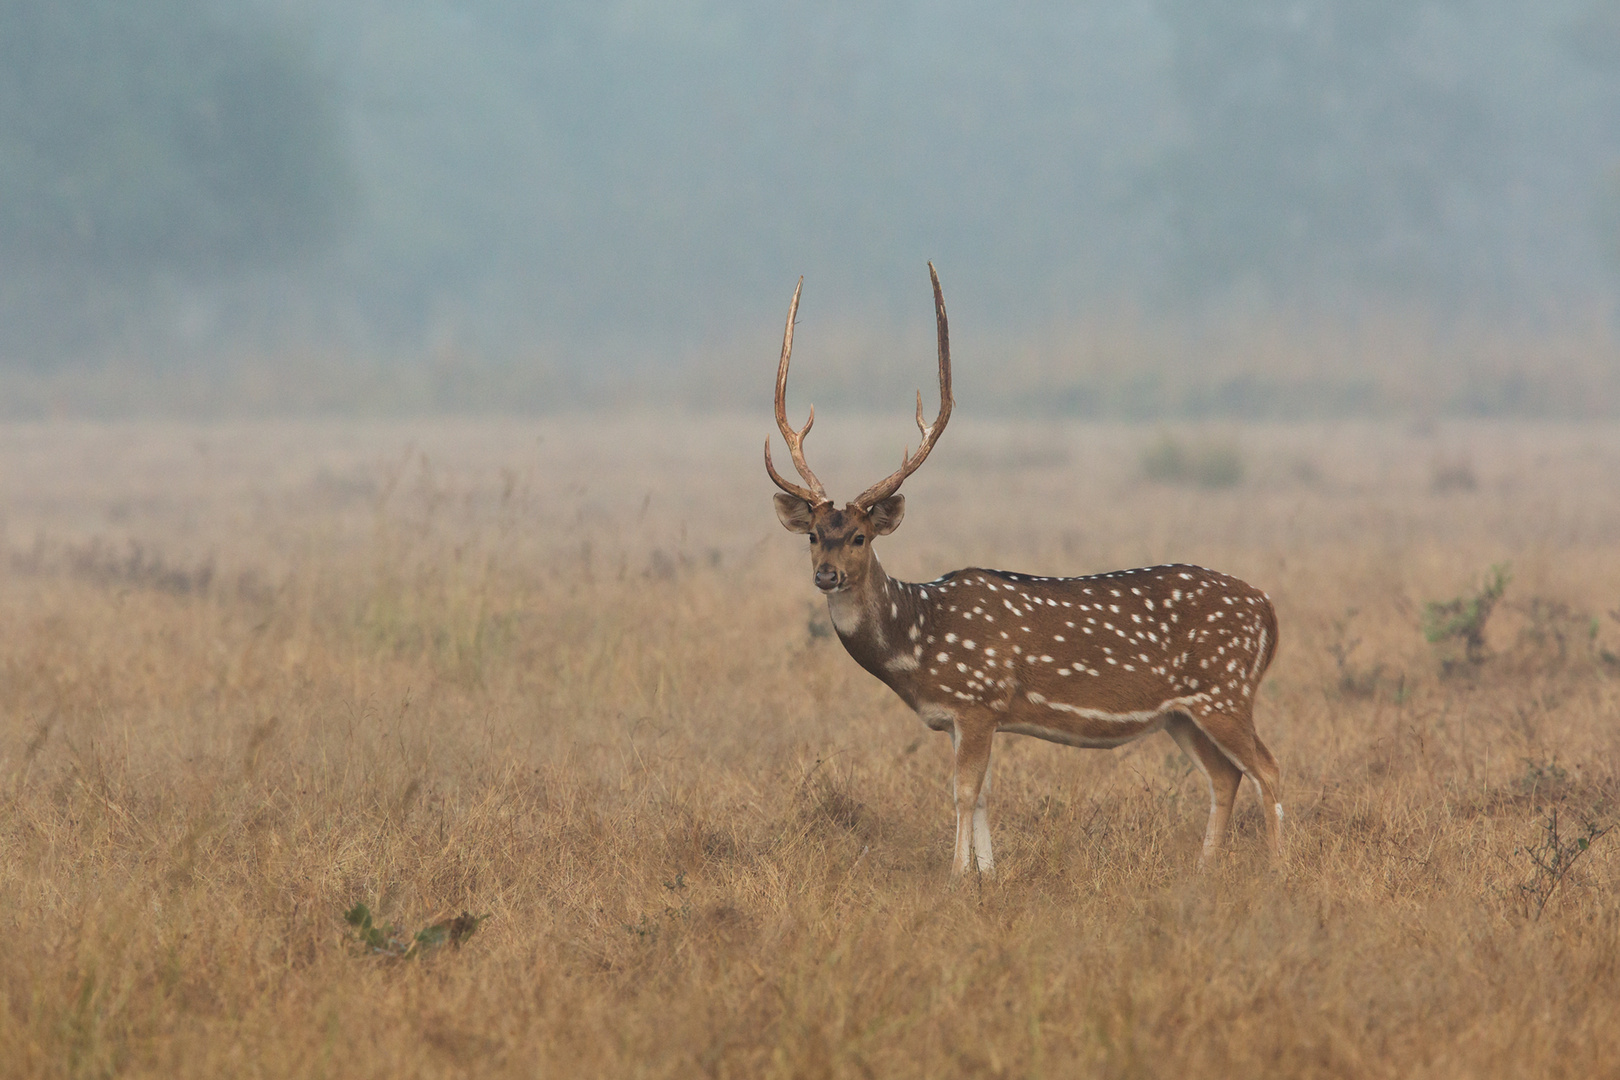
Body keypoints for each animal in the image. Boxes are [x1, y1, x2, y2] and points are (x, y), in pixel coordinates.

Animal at [764, 265, 1283, 874]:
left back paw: (1280, 867)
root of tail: (1268, 612)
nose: (827, 575)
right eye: (814, 536)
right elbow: (986, 793)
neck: (917, 640)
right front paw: (989, 873)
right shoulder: (968, 715)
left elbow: (964, 792)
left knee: (1268, 769)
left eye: (860, 536)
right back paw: (1204, 870)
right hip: (1182, 712)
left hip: (1224, 690)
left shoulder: (978, 697)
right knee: (1225, 776)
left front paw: (958, 875)